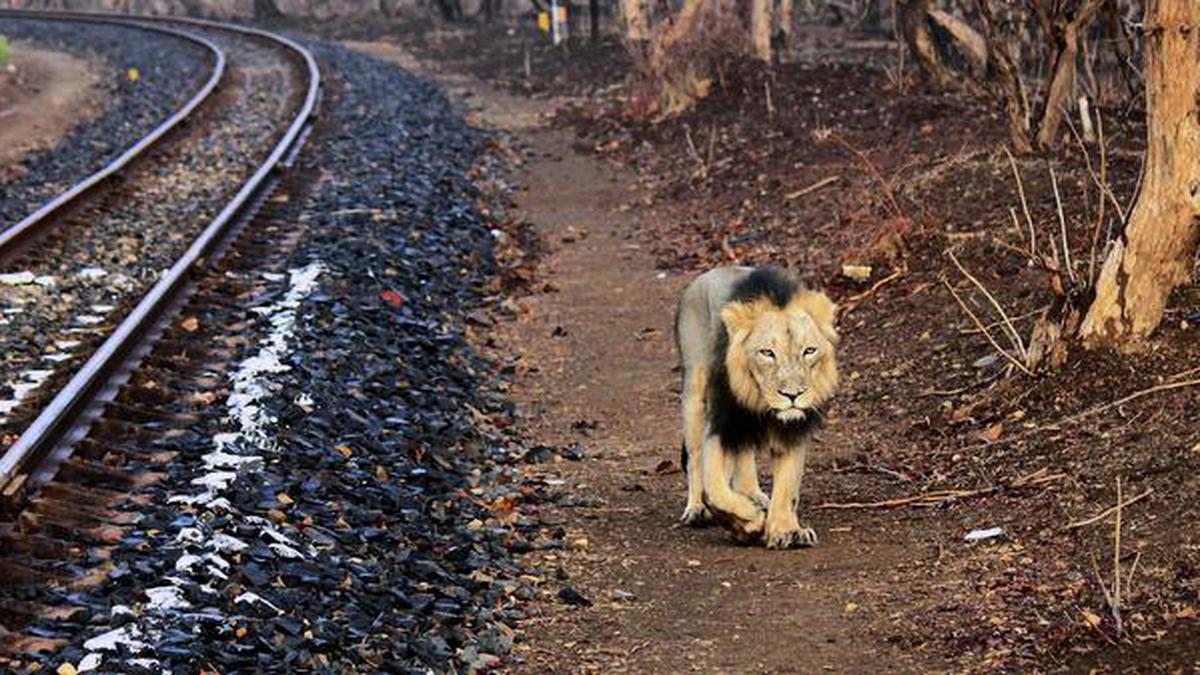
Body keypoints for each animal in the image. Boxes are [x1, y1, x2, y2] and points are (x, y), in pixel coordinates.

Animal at [676, 264, 844, 547]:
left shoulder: (792, 430)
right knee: (695, 456)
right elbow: (715, 490)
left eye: (809, 351)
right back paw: (697, 509)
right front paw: (750, 523)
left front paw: (787, 530)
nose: (792, 395)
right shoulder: (722, 424)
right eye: (767, 353)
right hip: (695, 391)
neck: (759, 402)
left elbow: (787, 487)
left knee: (744, 455)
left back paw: (753, 495)